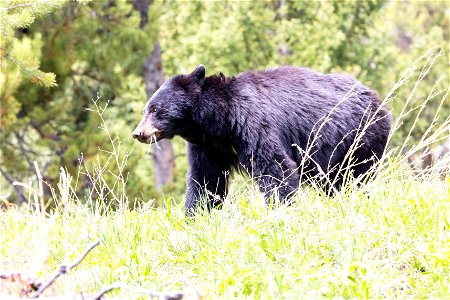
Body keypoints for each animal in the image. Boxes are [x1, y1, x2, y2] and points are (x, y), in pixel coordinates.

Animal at [131, 65, 390, 216]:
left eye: (156, 110)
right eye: (146, 109)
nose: (138, 133)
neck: (219, 122)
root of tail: (377, 99)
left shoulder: (252, 124)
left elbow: (274, 167)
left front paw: (279, 211)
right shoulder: (208, 146)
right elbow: (206, 179)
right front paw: (196, 214)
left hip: (357, 138)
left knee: (353, 177)